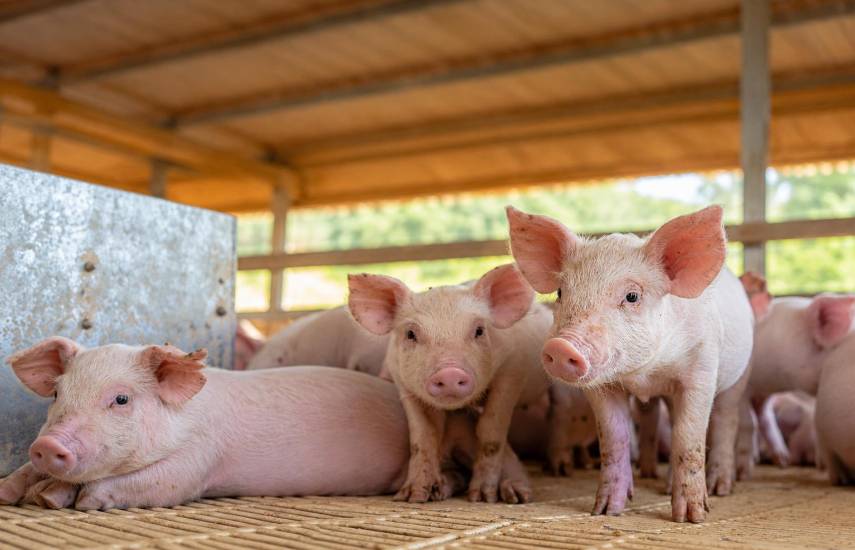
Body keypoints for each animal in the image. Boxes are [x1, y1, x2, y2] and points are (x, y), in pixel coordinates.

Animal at [0, 337, 411, 510]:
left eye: (121, 399)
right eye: (57, 394)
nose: (48, 445)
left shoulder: (197, 461)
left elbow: (154, 483)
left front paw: (61, 498)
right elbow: (24, 471)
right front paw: (18, 493)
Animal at [348, 264, 551, 504]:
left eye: (479, 330)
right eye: (410, 334)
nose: (450, 372)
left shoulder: (512, 371)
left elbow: (490, 431)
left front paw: (482, 497)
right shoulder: (404, 385)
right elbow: (423, 436)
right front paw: (413, 496)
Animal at [506, 205, 754, 523]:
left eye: (632, 295)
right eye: (561, 292)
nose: (561, 347)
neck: (646, 375)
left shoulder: (702, 369)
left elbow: (689, 438)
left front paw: (691, 518)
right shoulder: (601, 387)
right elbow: (614, 439)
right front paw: (605, 511)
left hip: (740, 375)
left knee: (725, 419)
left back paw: (721, 488)